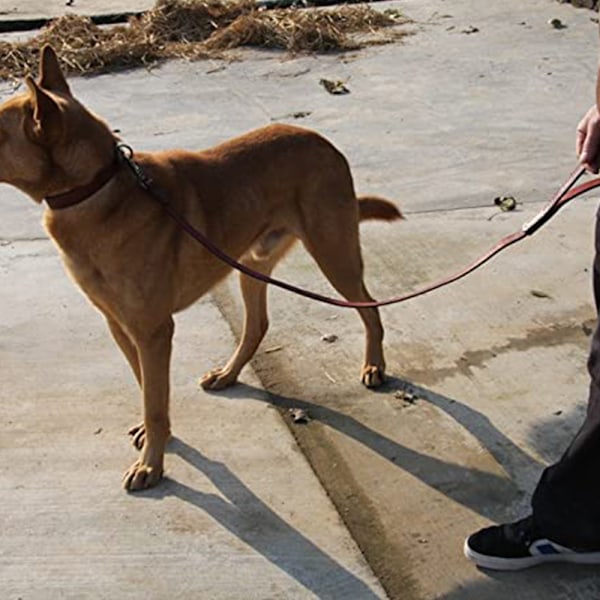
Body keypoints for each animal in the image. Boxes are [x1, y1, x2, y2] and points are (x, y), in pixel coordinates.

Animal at [1, 45, 404, 488]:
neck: (98, 187)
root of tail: (324, 143)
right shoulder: (122, 326)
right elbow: (146, 388)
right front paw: (156, 439)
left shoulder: (154, 331)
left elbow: (154, 401)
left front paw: (152, 464)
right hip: (251, 265)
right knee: (257, 325)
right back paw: (229, 373)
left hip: (334, 255)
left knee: (369, 308)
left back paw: (374, 364)